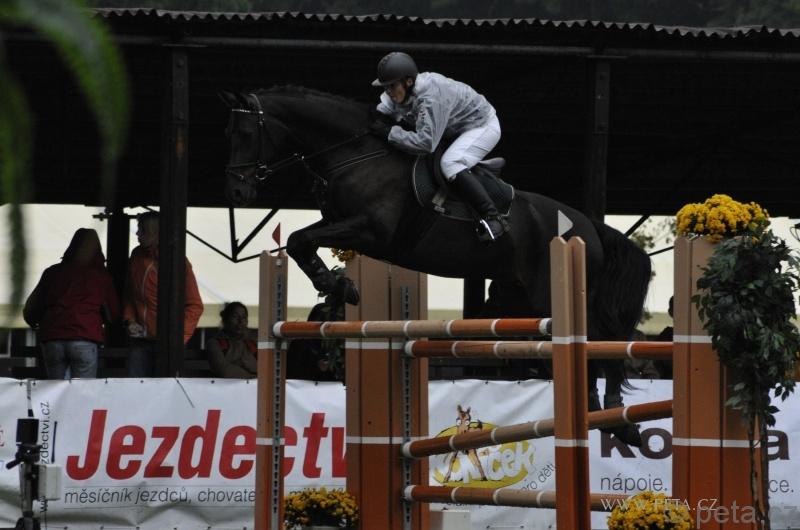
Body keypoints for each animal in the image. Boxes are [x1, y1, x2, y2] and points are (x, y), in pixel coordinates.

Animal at [219, 86, 651, 446]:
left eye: (246, 134)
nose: (237, 192)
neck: (354, 153)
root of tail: (588, 226)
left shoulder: (370, 229)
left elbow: (299, 239)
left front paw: (336, 284)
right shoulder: (342, 224)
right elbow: (298, 240)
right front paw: (335, 284)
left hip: (552, 295)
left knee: (605, 342)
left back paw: (619, 421)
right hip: (519, 297)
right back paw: (601, 414)